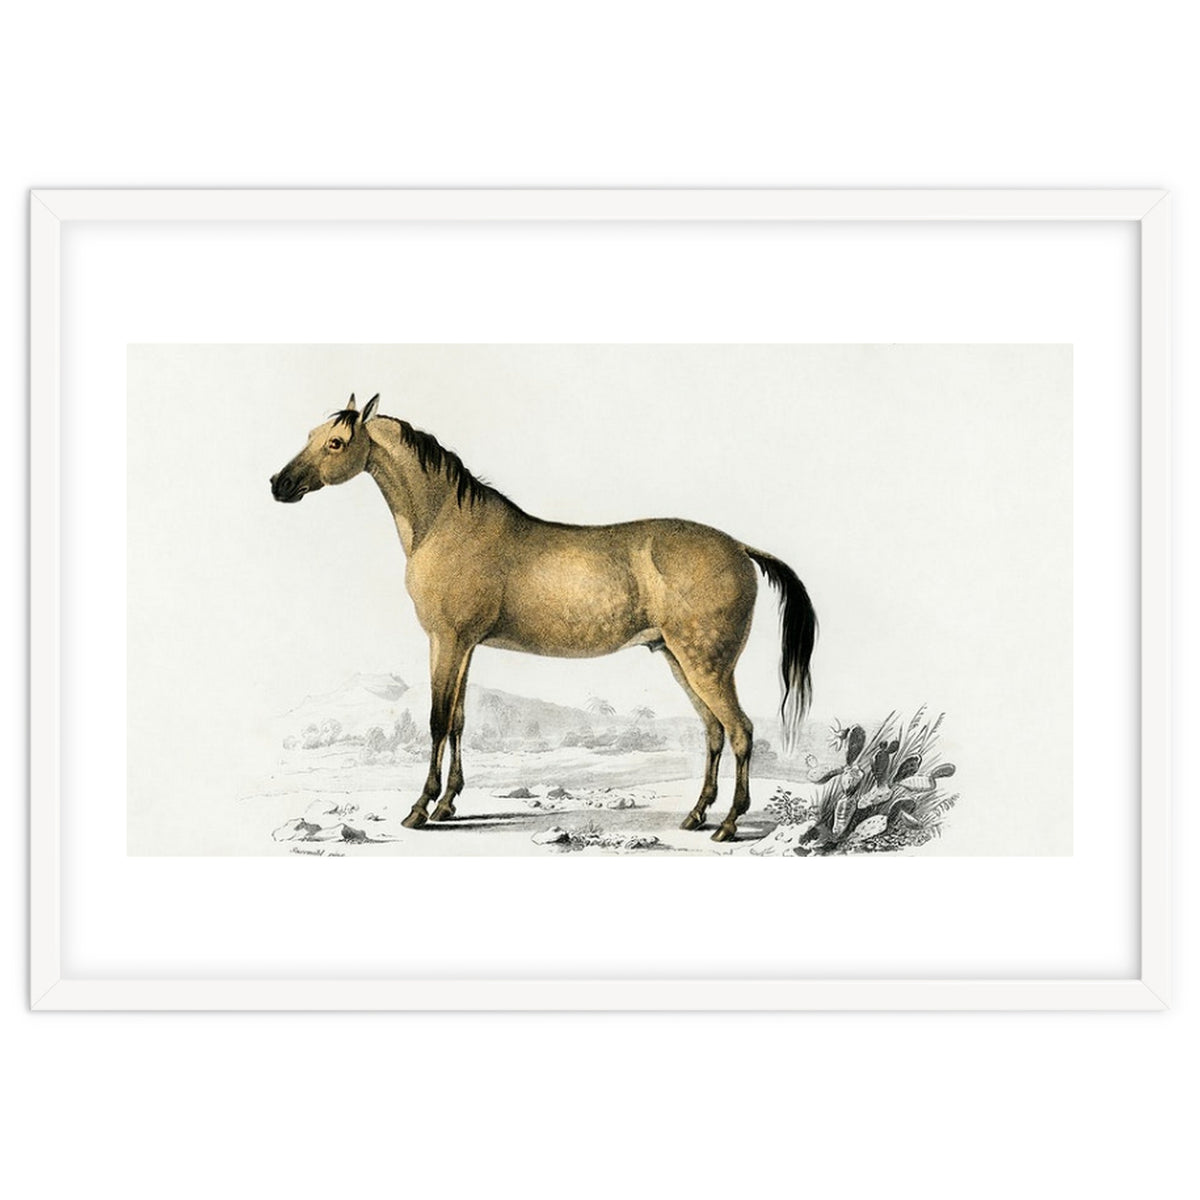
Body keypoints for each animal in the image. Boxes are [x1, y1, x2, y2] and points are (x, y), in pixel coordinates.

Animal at [271, 394, 817, 842]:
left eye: (337, 442)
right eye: (311, 435)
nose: (279, 484)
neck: (447, 523)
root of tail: (740, 547)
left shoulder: (446, 640)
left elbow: (436, 720)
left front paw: (420, 809)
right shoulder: (463, 646)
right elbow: (459, 721)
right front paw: (448, 804)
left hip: (706, 664)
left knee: (741, 730)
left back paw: (728, 824)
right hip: (680, 660)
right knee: (714, 732)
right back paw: (697, 815)